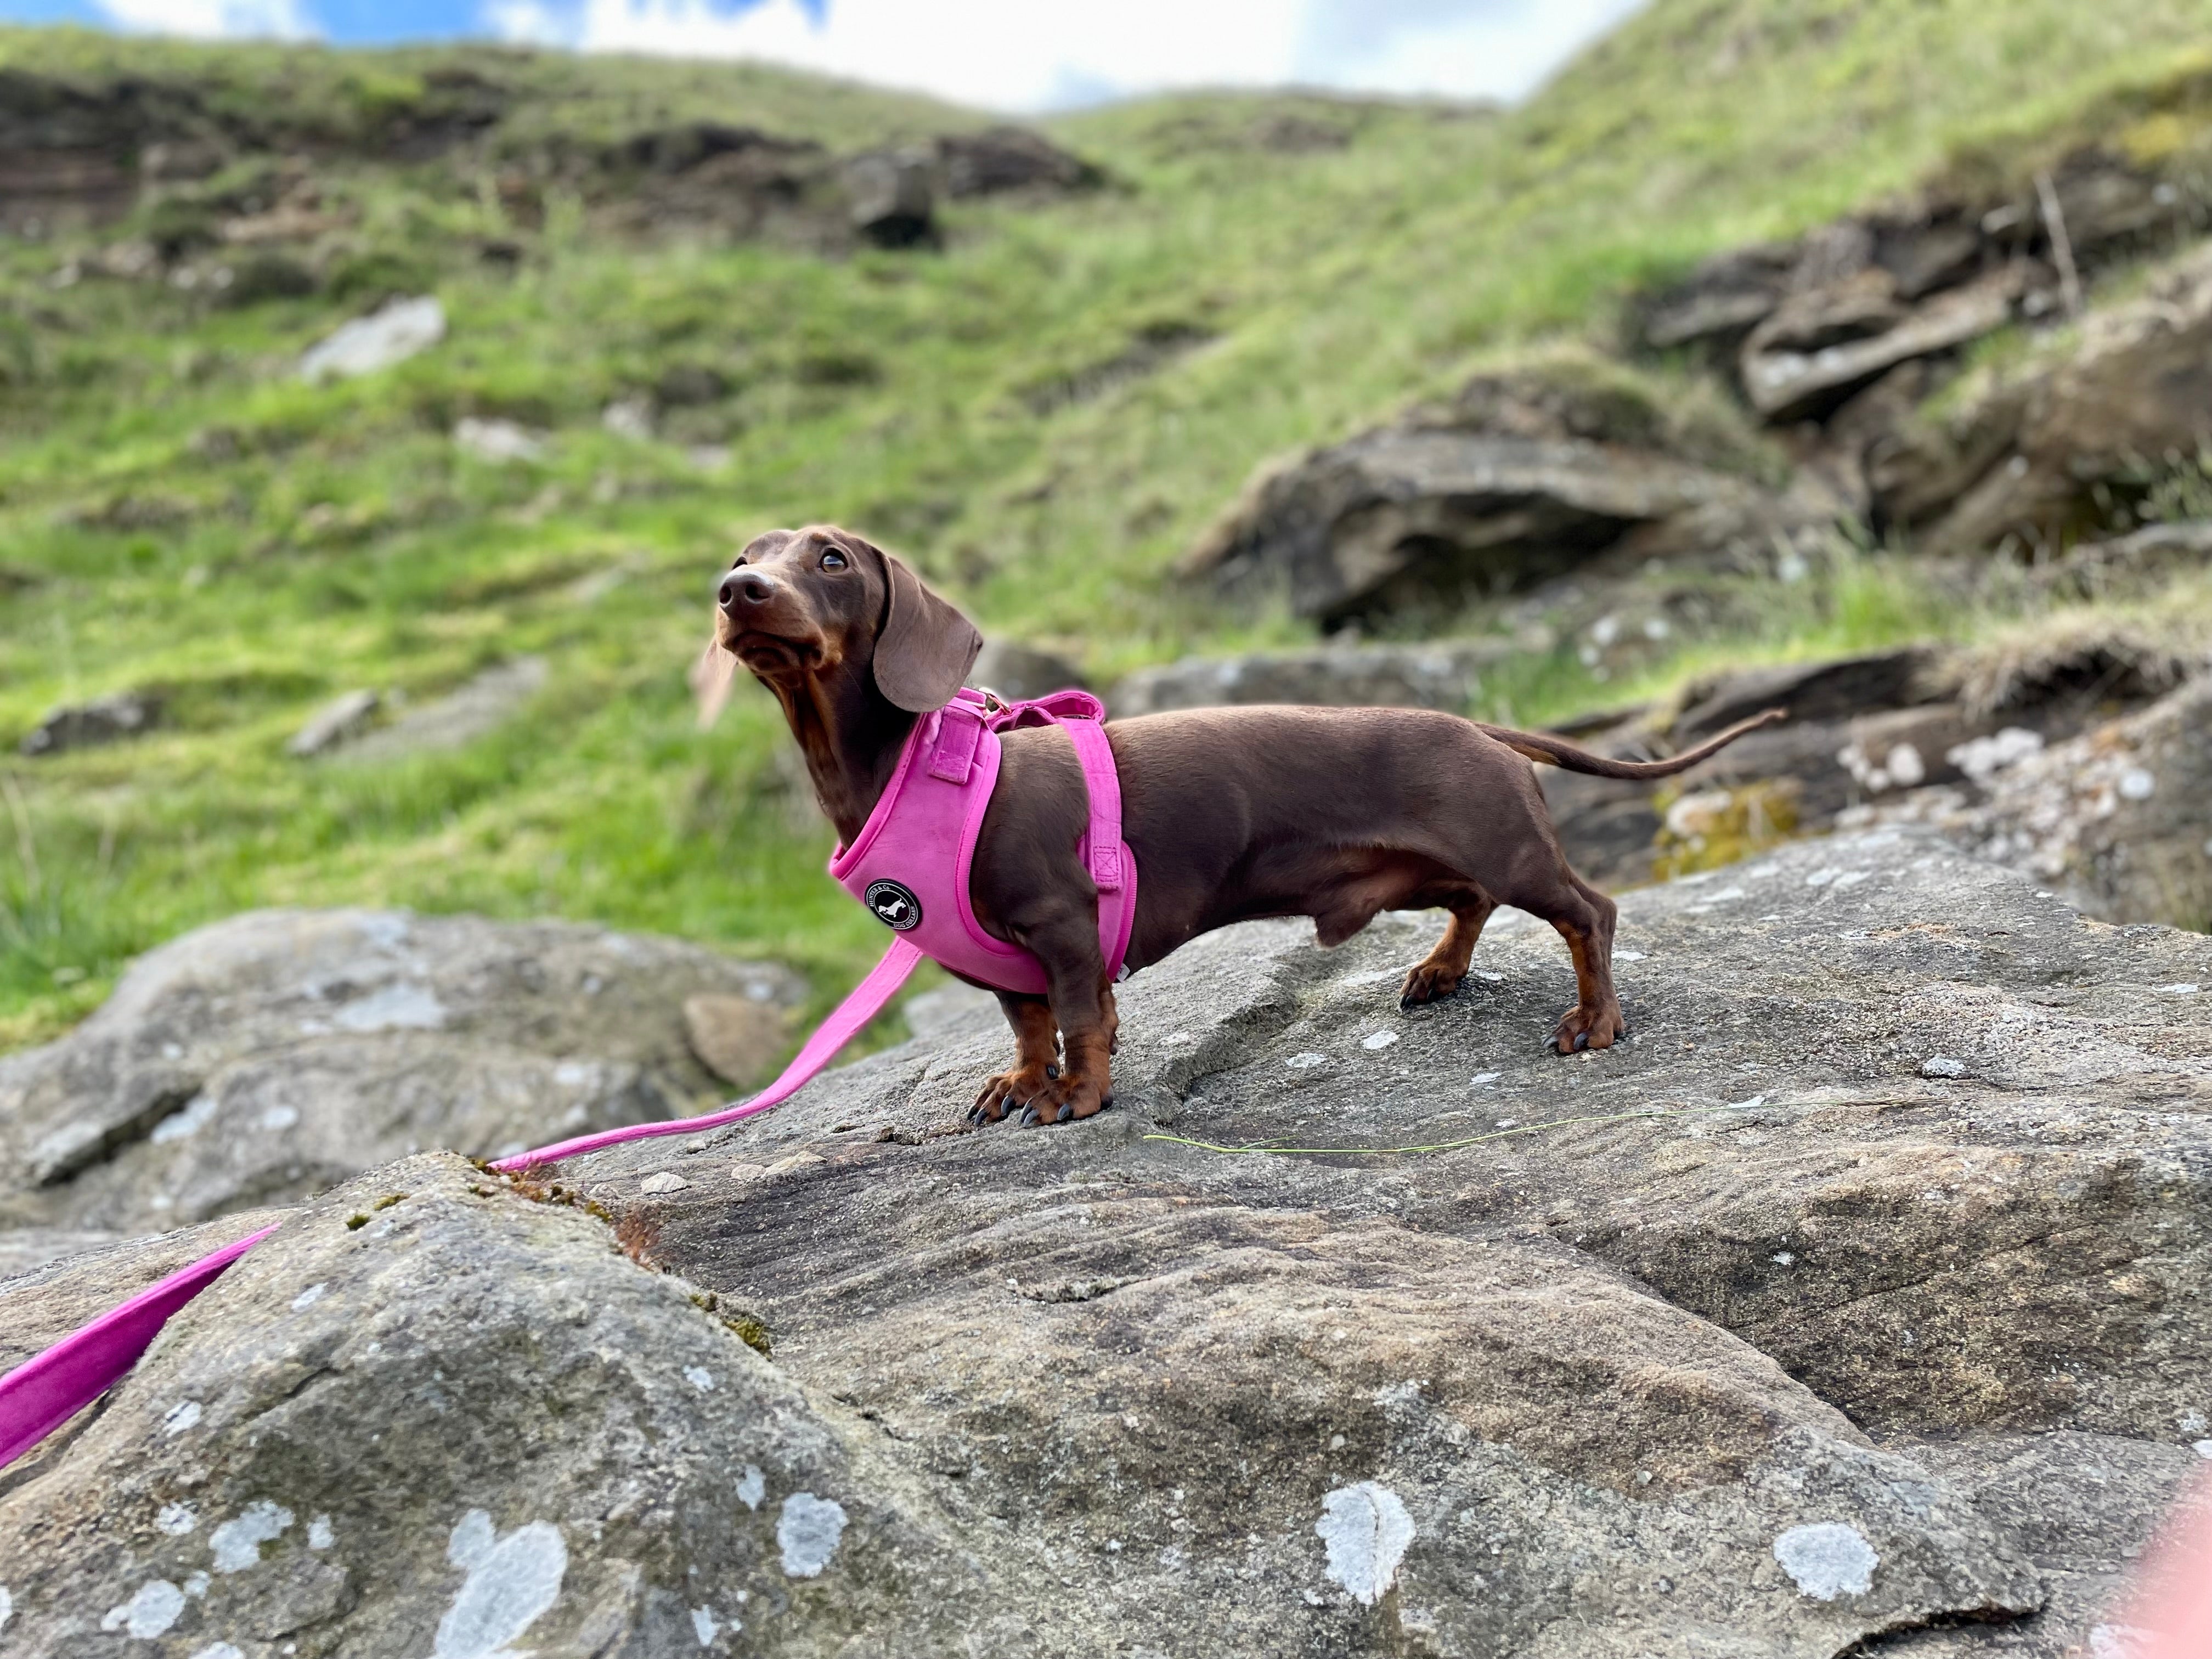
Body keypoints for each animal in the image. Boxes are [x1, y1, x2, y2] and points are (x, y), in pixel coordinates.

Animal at [699, 528, 1787, 1132]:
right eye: (748, 557)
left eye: (831, 557)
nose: (736, 591)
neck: (918, 769)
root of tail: (1479, 727)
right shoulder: (1003, 961)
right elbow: (1029, 1025)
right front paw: (1019, 1081)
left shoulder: (1061, 924)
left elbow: (1081, 1020)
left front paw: (1076, 1096)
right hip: (1429, 867)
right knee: (1473, 906)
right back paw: (1438, 971)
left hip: (1508, 847)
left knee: (1589, 911)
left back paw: (1593, 1019)